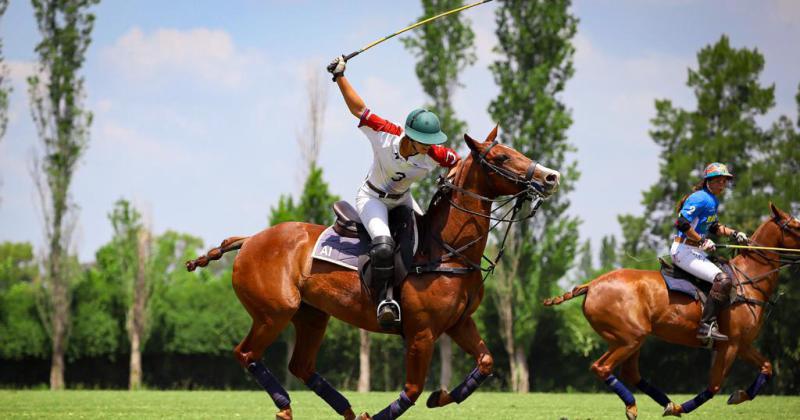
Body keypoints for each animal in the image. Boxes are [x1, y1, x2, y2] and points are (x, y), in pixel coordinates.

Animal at [188, 129, 564, 420]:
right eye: (501, 157)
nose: (550, 177)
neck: (446, 249)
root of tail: (250, 239)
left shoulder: (458, 323)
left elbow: (485, 361)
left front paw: (442, 397)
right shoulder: (422, 332)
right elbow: (412, 390)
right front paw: (393, 409)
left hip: (312, 315)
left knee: (301, 366)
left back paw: (347, 410)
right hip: (274, 312)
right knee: (246, 353)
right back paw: (286, 406)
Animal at [544, 202, 800, 418]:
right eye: (796, 226)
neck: (748, 281)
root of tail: (592, 284)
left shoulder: (742, 343)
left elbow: (767, 367)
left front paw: (739, 395)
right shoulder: (730, 344)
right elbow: (714, 386)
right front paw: (688, 406)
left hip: (629, 339)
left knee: (630, 373)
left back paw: (661, 404)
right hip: (630, 337)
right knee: (602, 367)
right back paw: (635, 405)